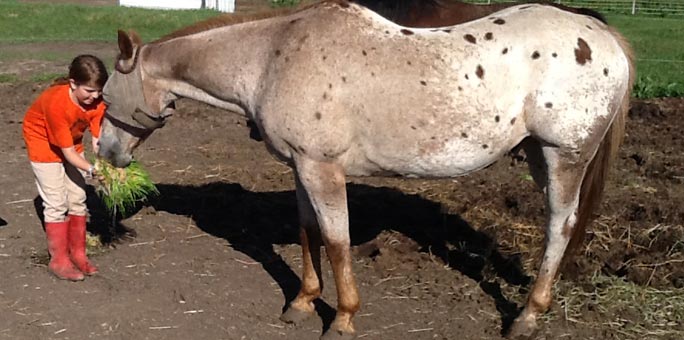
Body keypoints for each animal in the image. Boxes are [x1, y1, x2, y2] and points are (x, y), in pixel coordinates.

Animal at [97, 1, 636, 338]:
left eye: (104, 96)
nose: (105, 151)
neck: (273, 56)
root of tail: (602, 34)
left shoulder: (323, 171)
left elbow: (337, 241)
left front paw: (343, 318)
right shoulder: (302, 168)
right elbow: (309, 232)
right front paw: (302, 303)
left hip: (565, 156)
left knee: (559, 226)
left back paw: (527, 316)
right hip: (539, 155)